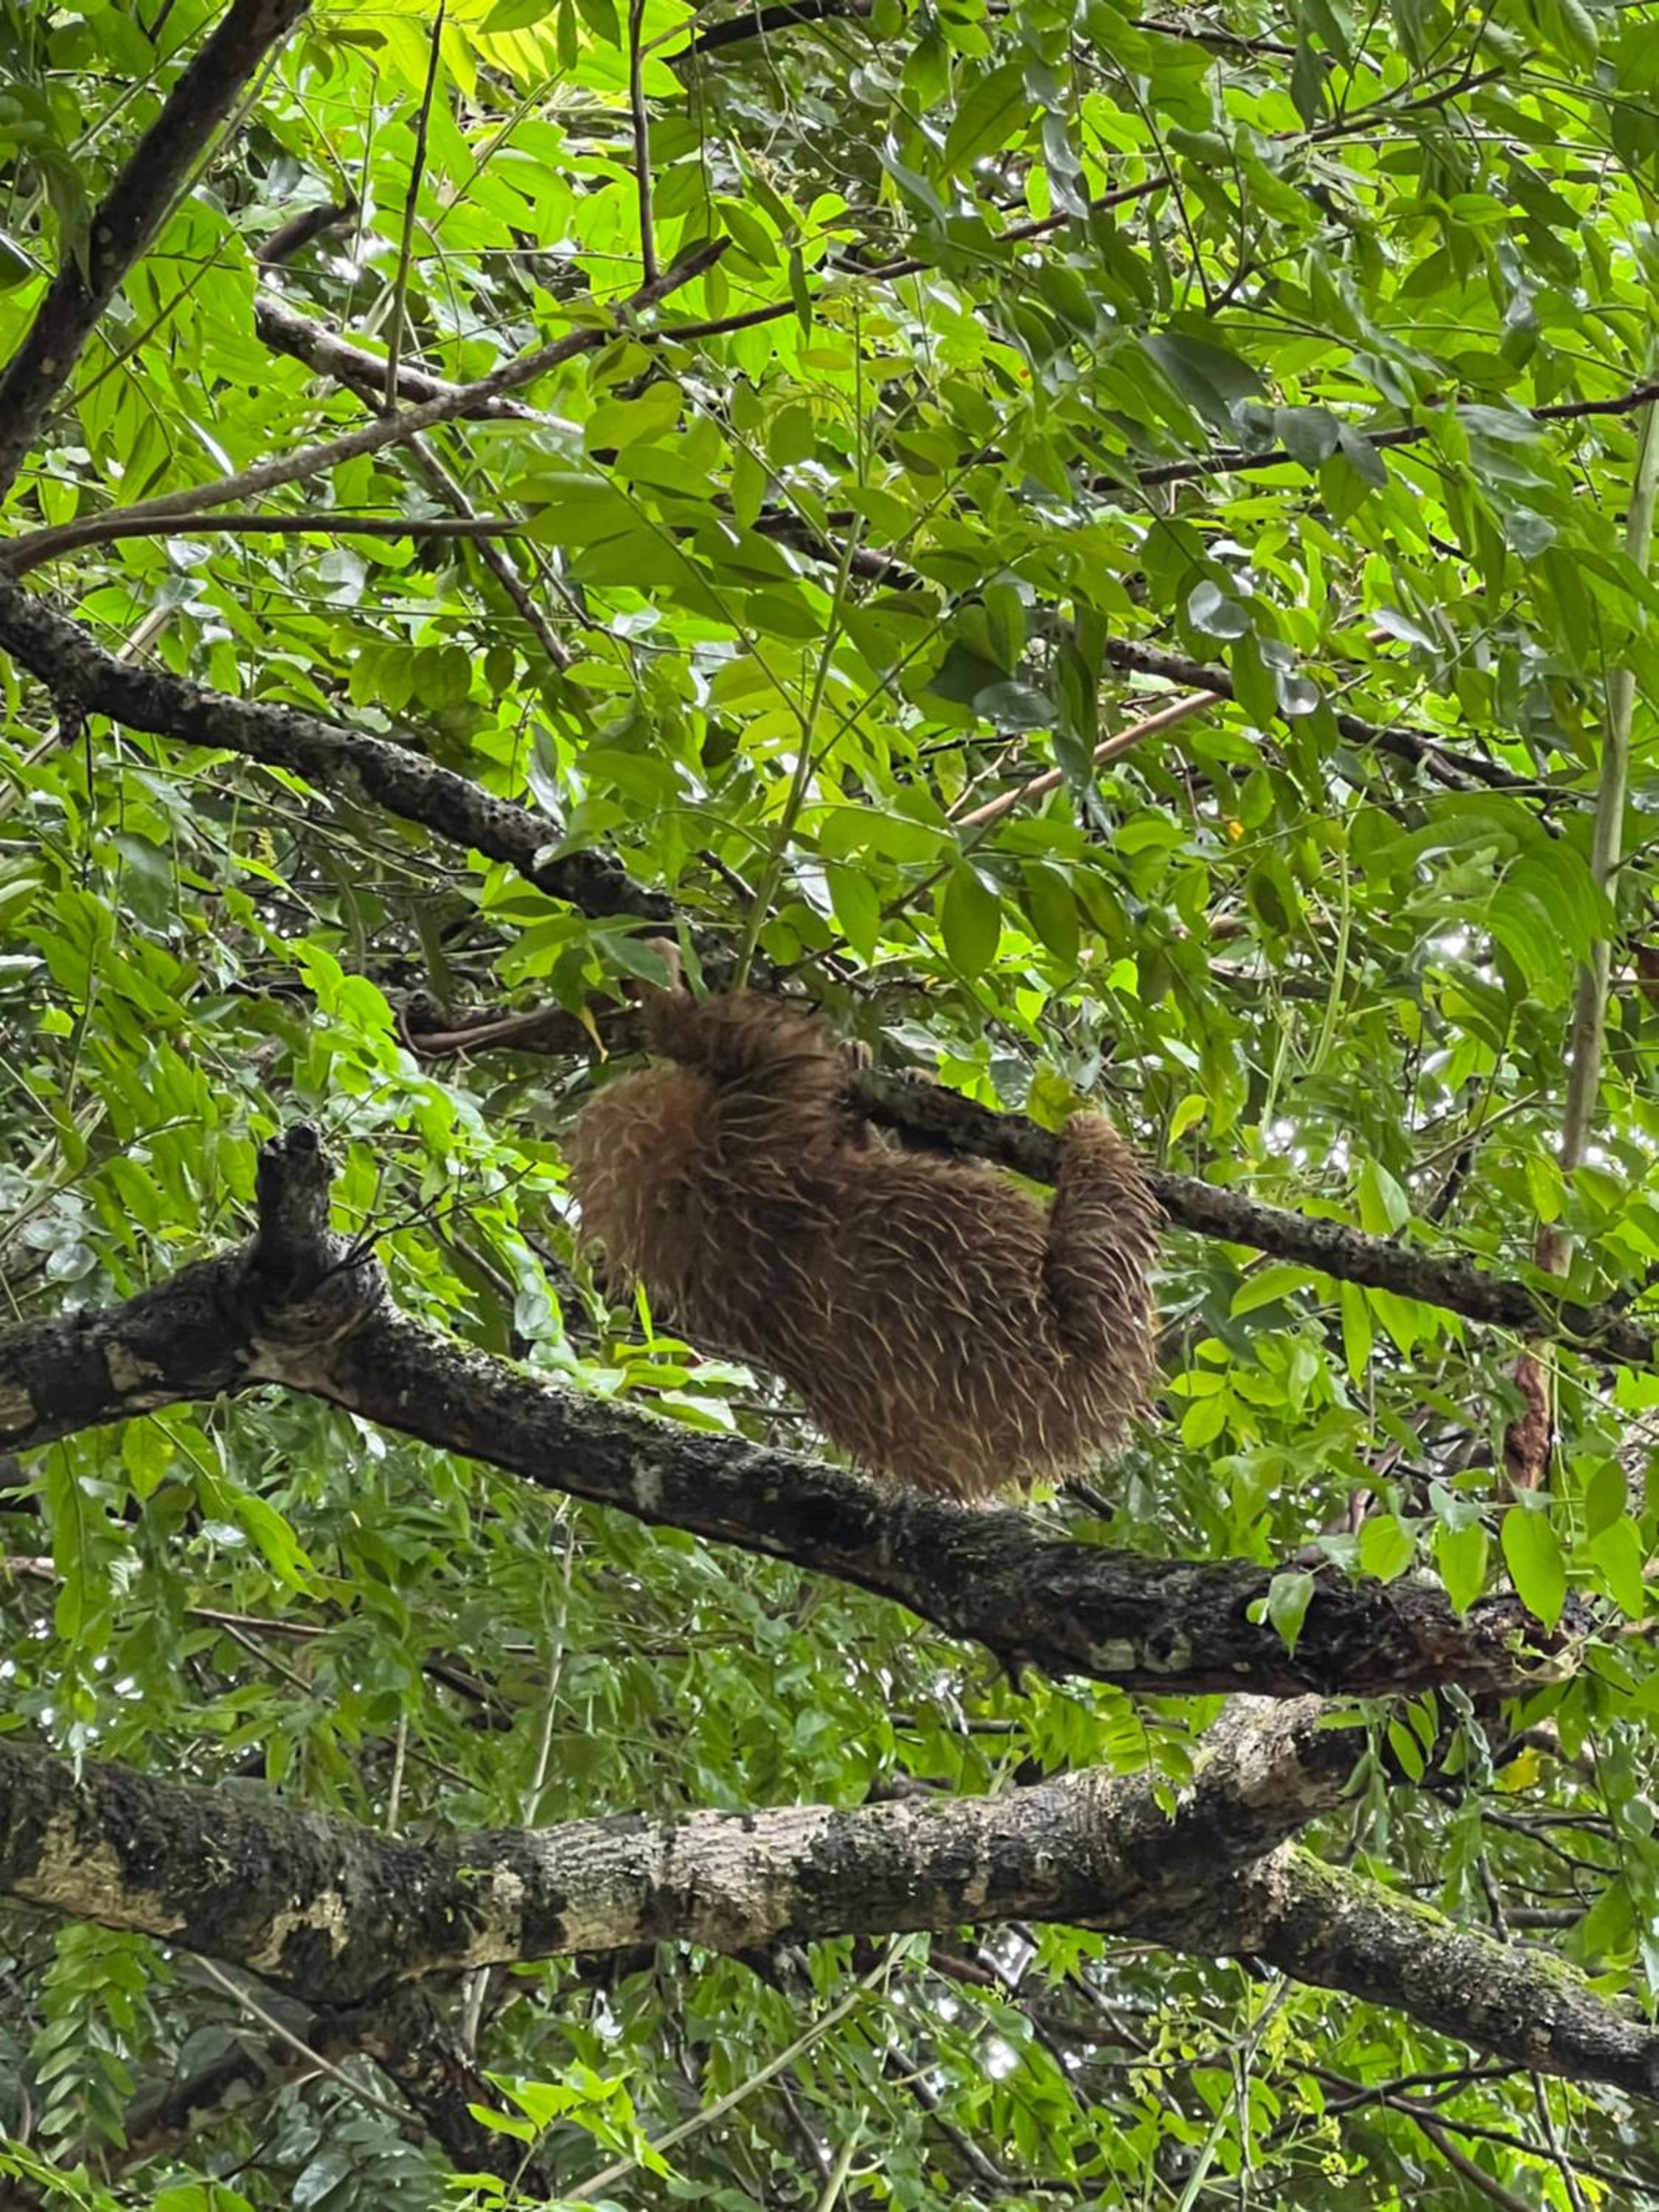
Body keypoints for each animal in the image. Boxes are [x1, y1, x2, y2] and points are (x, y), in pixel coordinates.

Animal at [563, 968, 1160, 1504]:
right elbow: (778, 1051)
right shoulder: (755, 1134)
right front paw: (667, 990)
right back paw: (1093, 1136)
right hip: (1097, 1336)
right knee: (1102, 1244)